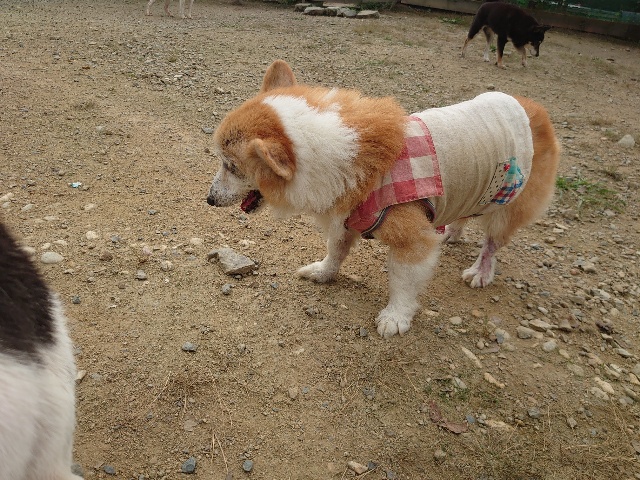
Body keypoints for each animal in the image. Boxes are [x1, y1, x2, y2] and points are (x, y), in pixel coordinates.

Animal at [206, 60, 560, 338]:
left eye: (232, 166)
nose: (208, 199)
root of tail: (535, 109)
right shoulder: (345, 220)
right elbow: (335, 253)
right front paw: (323, 273)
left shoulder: (411, 241)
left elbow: (403, 283)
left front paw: (395, 318)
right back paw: (451, 233)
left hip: (506, 203)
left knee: (491, 243)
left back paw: (481, 271)